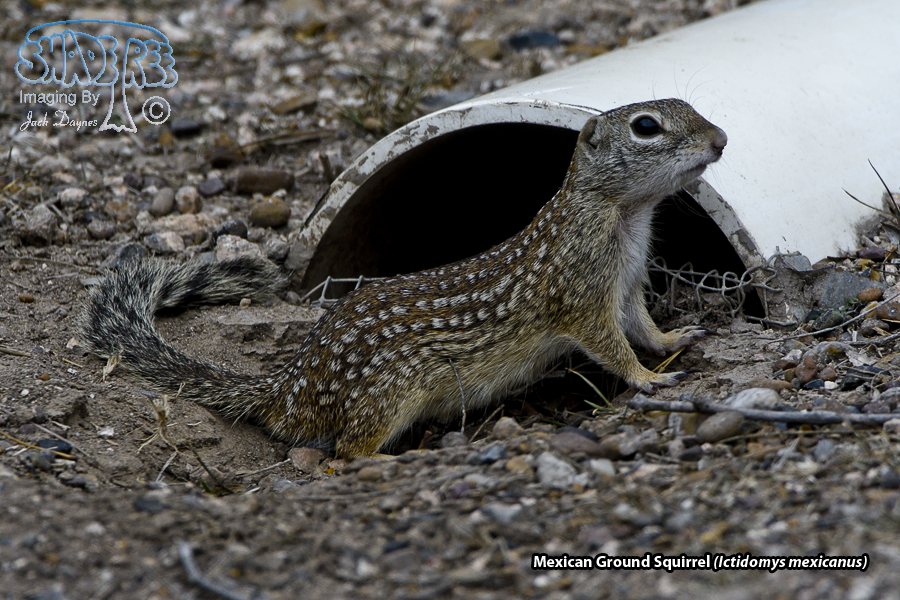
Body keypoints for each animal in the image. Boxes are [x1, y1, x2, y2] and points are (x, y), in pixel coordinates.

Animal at [80, 98, 727, 458]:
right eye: (647, 126)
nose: (721, 139)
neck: (622, 213)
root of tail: (284, 391)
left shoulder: (627, 286)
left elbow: (642, 326)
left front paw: (675, 341)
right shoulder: (583, 296)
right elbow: (611, 346)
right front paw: (650, 379)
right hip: (391, 395)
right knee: (345, 451)